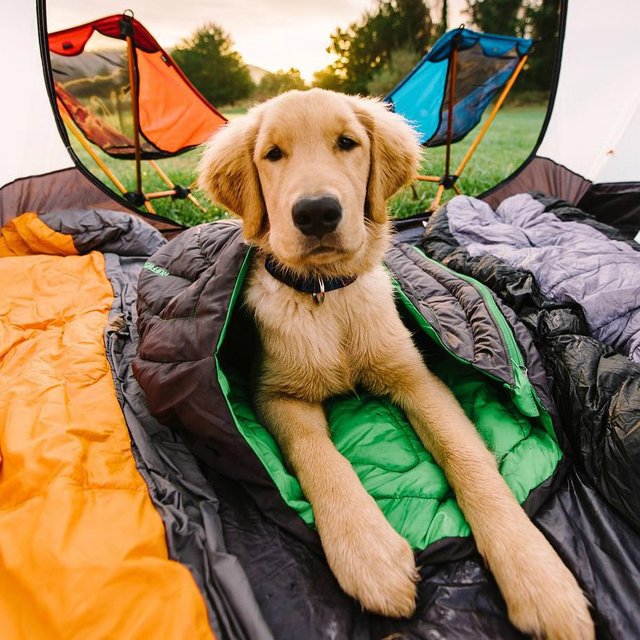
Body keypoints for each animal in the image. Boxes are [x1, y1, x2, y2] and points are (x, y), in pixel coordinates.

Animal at [199, 89, 596, 640]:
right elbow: (320, 458)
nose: (317, 213)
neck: (327, 294)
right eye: (273, 155)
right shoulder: (277, 394)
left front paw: (538, 575)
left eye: (347, 143)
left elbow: (466, 457)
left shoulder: (417, 378)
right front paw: (370, 554)